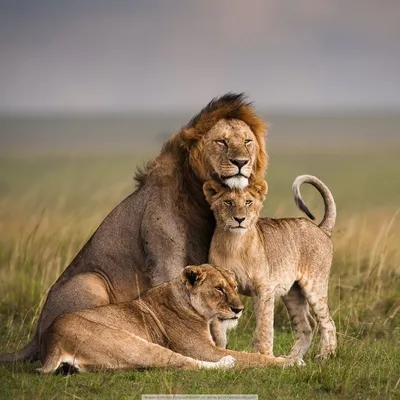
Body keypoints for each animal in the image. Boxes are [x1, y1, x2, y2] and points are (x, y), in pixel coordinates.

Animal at [1, 93, 268, 362]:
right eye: (221, 142)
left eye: (247, 141)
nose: (241, 162)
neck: (199, 199)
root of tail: (36, 335)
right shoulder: (166, 260)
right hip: (90, 281)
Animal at [38, 264, 294, 374]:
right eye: (219, 289)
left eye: (234, 286)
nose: (238, 309)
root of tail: (52, 341)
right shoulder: (203, 349)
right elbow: (251, 357)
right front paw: (289, 361)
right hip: (131, 343)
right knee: (182, 362)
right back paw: (227, 363)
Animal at [203, 175, 338, 360]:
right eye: (228, 202)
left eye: (248, 202)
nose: (239, 219)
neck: (234, 243)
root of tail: (320, 228)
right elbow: (218, 329)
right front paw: (218, 352)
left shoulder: (264, 290)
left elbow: (264, 327)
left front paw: (264, 356)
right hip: (292, 293)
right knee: (306, 326)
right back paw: (292, 358)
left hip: (315, 286)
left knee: (328, 322)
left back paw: (324, 356)